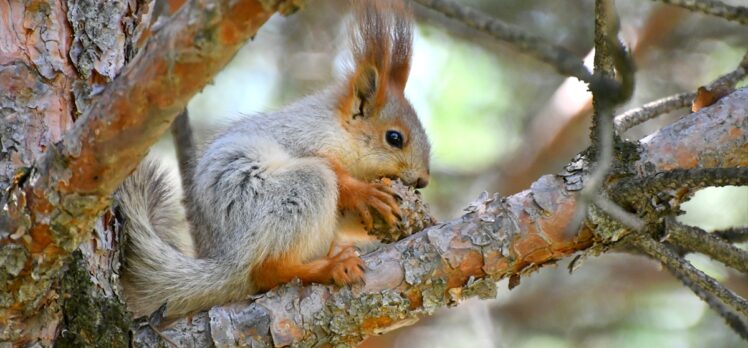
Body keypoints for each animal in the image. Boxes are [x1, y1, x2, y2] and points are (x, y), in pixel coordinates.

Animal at [118, 0, 432, 318]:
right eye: (394, 138)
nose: (423, 181)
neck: (339, 130)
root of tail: (228, 260)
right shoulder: (303, 139)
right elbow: (335, 172)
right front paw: (365, 193)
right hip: (289, 194)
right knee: (267, 270)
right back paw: (330, 267)